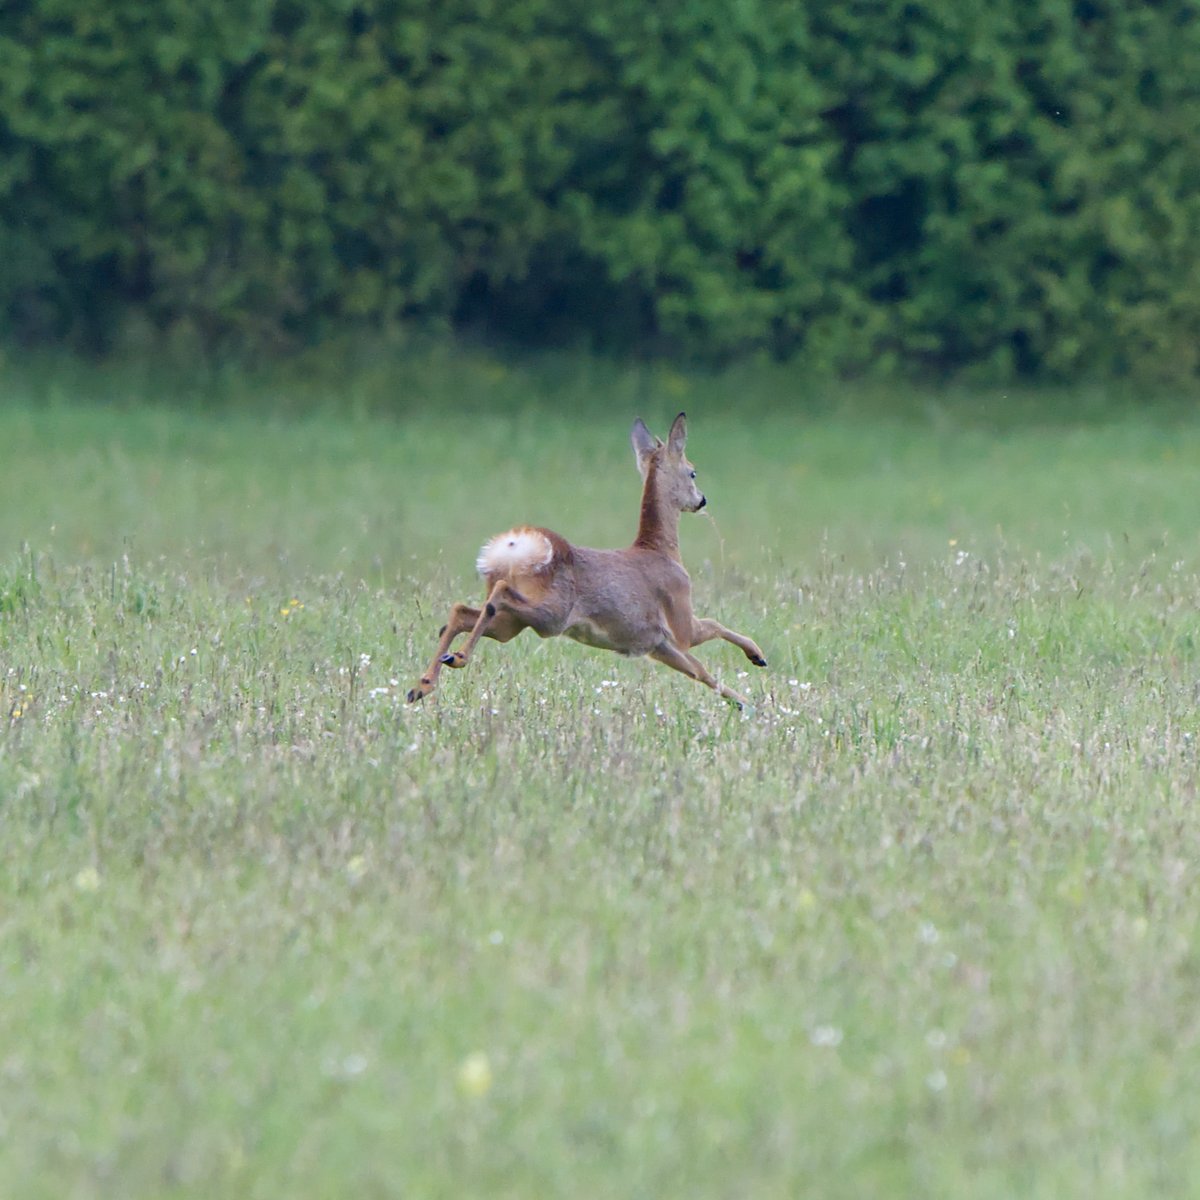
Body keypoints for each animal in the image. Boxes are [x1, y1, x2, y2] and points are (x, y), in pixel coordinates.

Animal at [405, 415, 768, 705]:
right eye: (693, 472)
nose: (702, 500)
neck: (662, 550)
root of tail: (516, 546)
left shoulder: (656, 643)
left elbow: (701, 673)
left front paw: (745, 703)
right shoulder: (679, 621)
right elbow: (713, 630)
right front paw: (757, 660)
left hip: (513, 624)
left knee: (462, 612)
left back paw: (424, 683)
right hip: (551, 613)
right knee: (498, 596)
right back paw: (457, 659)